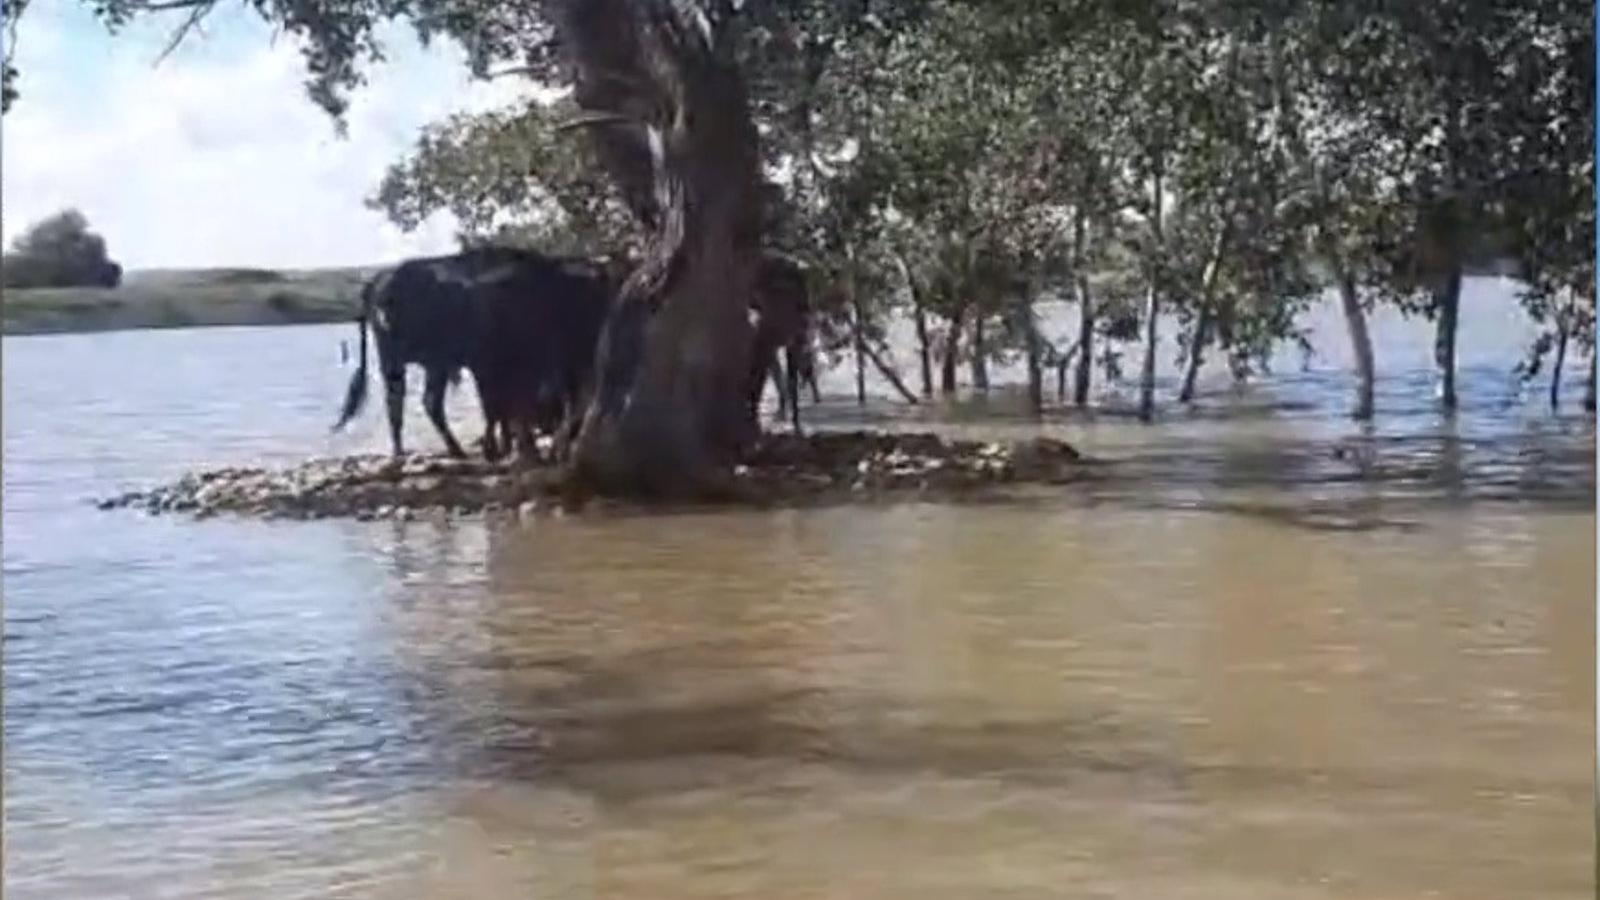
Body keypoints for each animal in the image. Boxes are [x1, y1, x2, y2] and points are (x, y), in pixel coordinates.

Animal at [334, 245, 812, 454]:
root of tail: (377, 283)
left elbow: (519, 408)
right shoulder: (510, 368)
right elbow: (511, 409)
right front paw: (510, 447)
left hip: (420, 364)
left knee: (418, 404)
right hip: (406, 363)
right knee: (409, 404)